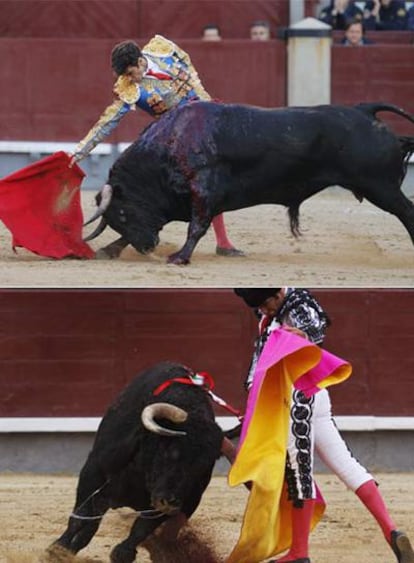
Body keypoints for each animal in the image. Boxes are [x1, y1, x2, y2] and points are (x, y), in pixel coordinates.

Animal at [49, 364, 236, 560]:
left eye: (203, 466)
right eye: (171, 451)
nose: (170, 502)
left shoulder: (180, 503)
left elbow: (139, 531)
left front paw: (122, 552)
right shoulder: (93, 472)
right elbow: (80, 517)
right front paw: (57, 550)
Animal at [85, 101, 414, 264]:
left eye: (123, 213)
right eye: (116, 220)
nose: (147, 247)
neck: (171, 143)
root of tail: (363, 110)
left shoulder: (203, 191)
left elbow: (197, 226)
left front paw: (179, 257)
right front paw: (109, 250)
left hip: (380, 186)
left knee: (407, 211)